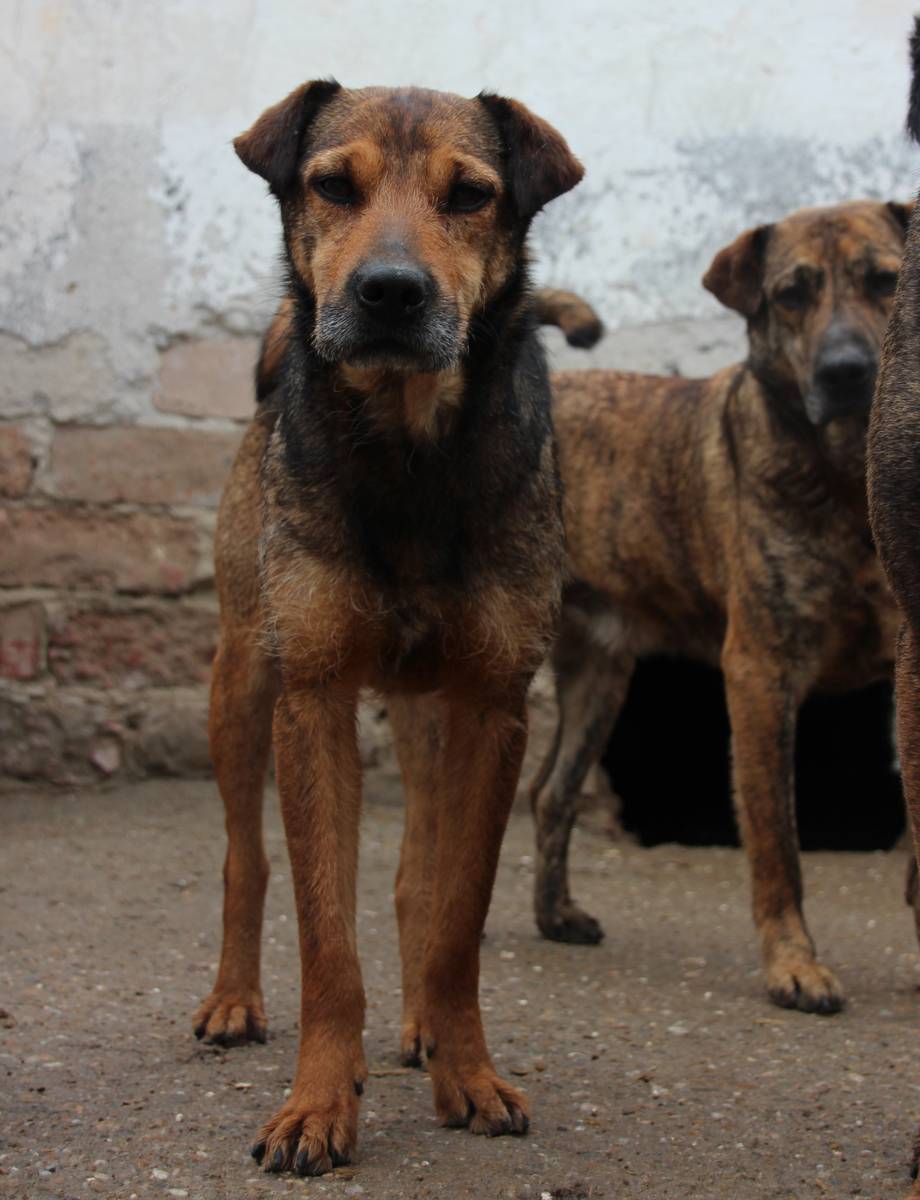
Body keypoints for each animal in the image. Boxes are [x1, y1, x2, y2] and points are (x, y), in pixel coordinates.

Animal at [192, 80, 584, 1176]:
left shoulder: (492, 706)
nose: (391, 293)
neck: (409, 450)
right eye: (332, 184)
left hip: (426, 715)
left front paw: (466, 1072)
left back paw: (417, 1033)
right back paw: (233, 1000)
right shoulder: (312, 698)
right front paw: (319, 1103)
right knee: (245, 856)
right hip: (240, 684)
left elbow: (454, 916)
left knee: (416, 880)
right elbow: (327, 937)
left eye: (471, 195)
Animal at [532, 198, 910, 1016]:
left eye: (885, 280)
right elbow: (777, 842)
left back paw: (555, 916)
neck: (845, 478)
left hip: (599, 678)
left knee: (550, 794)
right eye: (792, 294)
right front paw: (794, 966)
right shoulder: (760, 674)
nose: (845, 372)